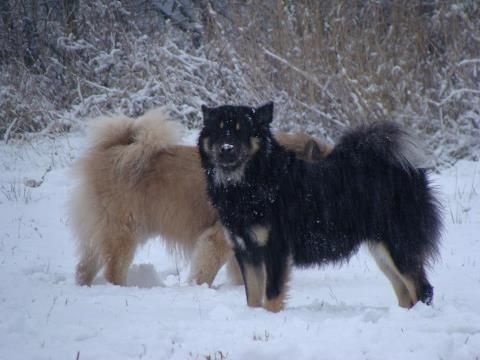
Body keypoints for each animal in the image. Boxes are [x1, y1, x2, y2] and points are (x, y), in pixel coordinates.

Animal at [197, 102, 440, 312]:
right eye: (218, 131)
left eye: (242, 131)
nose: (226, 148)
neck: (250, 183)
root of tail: (410, 172)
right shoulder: (246, 251)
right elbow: (253, 297)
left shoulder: (274, 249)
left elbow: (272, 295)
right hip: (381, 251)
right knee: (405, 292)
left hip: (398, 245)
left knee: (423, 289)